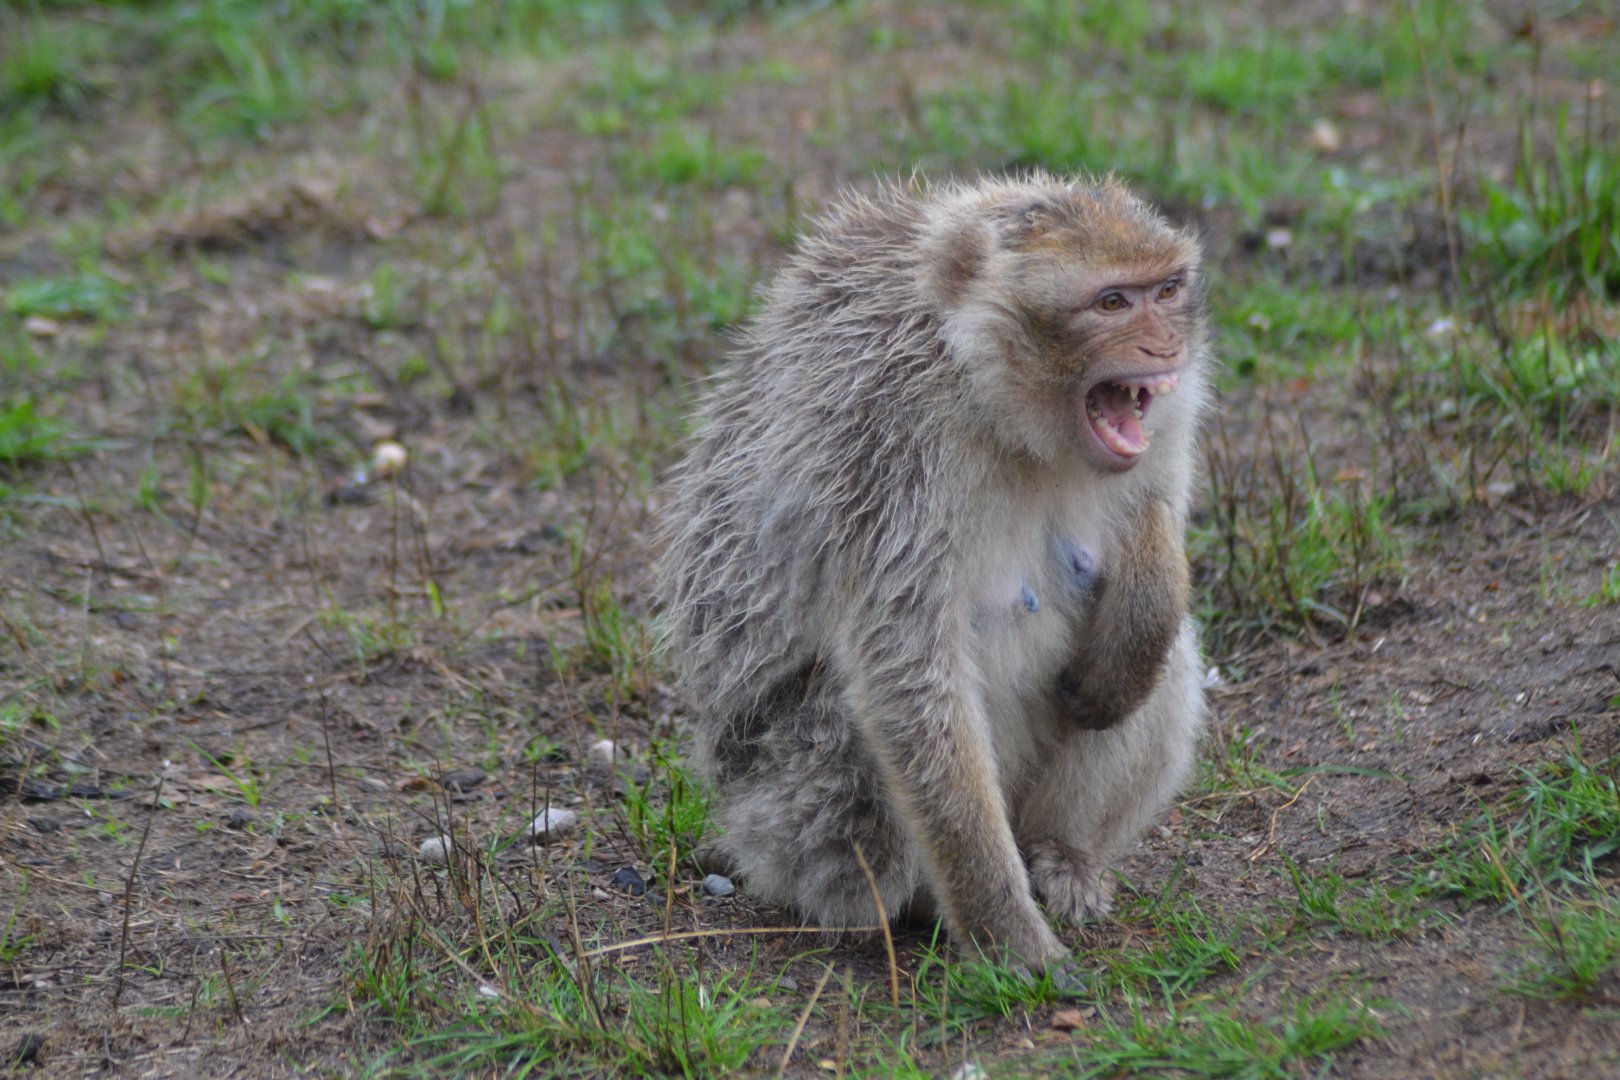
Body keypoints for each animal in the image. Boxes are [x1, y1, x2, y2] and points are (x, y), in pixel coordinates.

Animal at [656, 173, 1210, 970]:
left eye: (1164, 290)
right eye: (1111, 302)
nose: (1165, 344)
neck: (994, 398)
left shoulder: (1168, 412)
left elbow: (1155, 506)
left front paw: (1144, 610)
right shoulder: (894, 442)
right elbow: (909, 670)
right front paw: (1007, 933)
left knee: (1160, 661)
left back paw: (1064, 854)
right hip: (784, 820)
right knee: (849, 726)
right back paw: (923, 905)